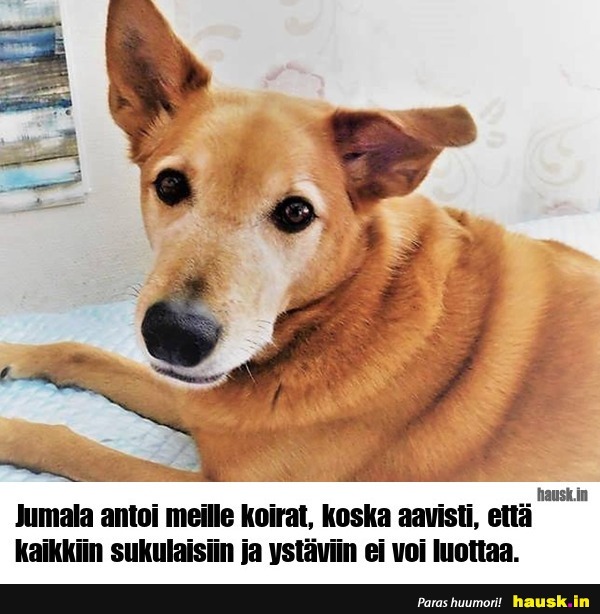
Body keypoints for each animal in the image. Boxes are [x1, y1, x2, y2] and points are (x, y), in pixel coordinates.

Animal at [0, 0, 599, 482]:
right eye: (169, 185)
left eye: (295, 213)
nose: (173, 337)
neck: (351, 308)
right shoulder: (199, 395)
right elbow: (80, 351)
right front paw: (11, 354)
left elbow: (71, 443)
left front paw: (11, 431)